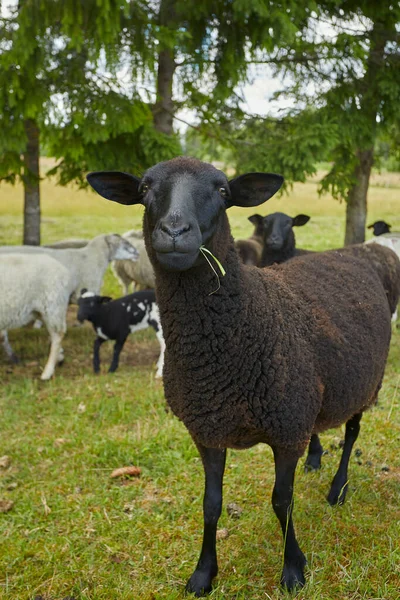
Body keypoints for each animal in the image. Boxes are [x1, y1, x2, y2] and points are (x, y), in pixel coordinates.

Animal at [88, 157, 400, 596]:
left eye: (222, 191)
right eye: (145, 188)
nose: (174, 232)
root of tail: (356, 253)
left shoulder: (285, 429)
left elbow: (281, 502)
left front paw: (293, 570)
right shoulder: (208, 428)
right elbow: (210, 503)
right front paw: (203, 573)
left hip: (364, 382)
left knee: (353, 432)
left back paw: (338, 488)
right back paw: (316, 457)